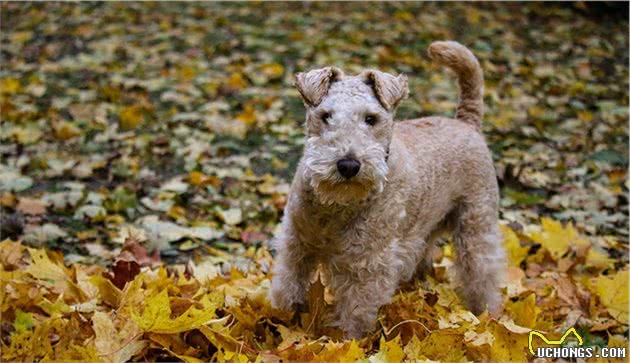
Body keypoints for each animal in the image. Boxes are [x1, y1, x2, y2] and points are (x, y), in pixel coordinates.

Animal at [270, 41, 506, 340]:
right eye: (325, 116)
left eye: (371, 118)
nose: (348, 165)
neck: (335, 207)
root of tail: (466, 123)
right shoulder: (296, 245)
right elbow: (287, 287)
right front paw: (278, 323)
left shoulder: (367, 264)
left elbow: (355, 315)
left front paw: (347, 343)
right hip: (427, 224)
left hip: (476, 224)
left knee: (483, 271)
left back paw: (487, 315)